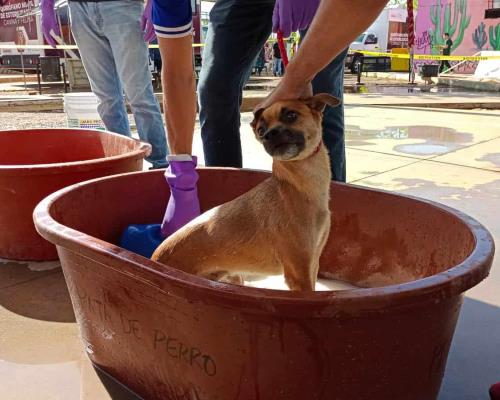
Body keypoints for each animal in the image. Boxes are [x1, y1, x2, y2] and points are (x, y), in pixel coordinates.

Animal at [152, 94, 340, 290]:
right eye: (261, 130)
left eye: (291, 115)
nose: (269, 134)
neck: (296, 186)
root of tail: (154, 259)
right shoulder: (299, 273)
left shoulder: (313, 263)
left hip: (233, 277)